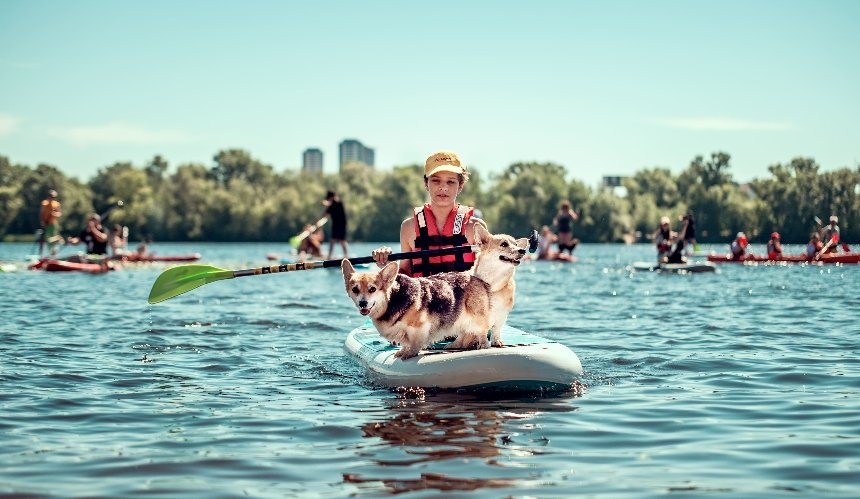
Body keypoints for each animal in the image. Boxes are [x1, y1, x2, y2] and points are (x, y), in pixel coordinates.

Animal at [342, 226, 532, 360]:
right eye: (504, 244)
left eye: (373, 289)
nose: (522, 251)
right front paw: (403, 351)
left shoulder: (420, 327)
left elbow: (415, 343)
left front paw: (409, 353)